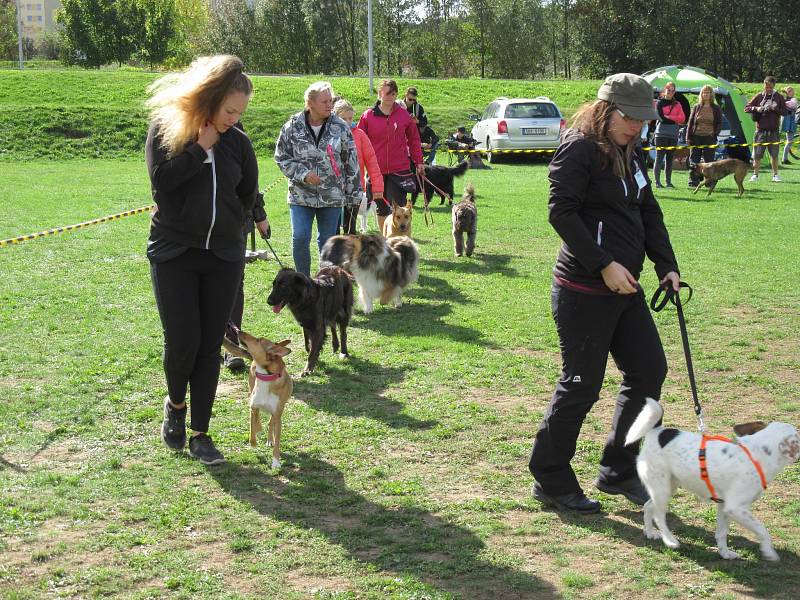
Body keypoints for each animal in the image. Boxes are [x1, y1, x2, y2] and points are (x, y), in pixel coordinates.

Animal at [624, 398, 800, 564]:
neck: (757, 454)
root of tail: (656, 432)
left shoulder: (724, 506)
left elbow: (721, 533)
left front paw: (725, 553)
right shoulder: (736, 508)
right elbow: (762, 529)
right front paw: (769, 552)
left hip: (667, 486)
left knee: (648, 507)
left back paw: (649, 532)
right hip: (662, 490)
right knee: (659, 516)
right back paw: (670, 540)